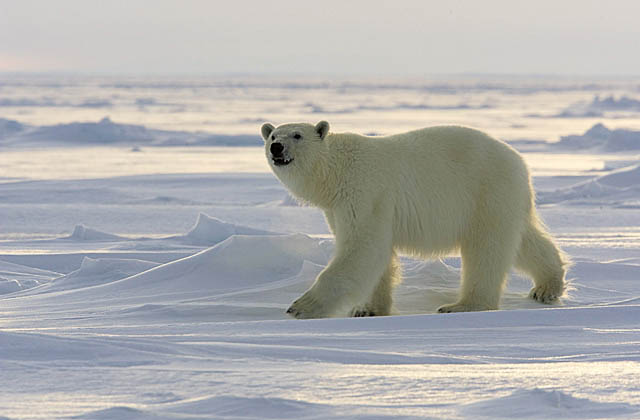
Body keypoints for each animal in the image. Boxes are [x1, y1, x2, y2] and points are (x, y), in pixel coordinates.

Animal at [262, 121, 568, 318]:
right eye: (273, 135)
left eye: (297, 135)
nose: (276, 147)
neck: (336, 171)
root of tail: (519, 161)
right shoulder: (337, 208)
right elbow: (378, 255)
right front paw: (368, 309)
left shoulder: (364, 191)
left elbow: (362, 249)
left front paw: (301, 307)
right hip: (504, 200)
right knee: (524, 241)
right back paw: (547, 287)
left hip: (485, 192)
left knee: (487, 249)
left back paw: (463, 305)